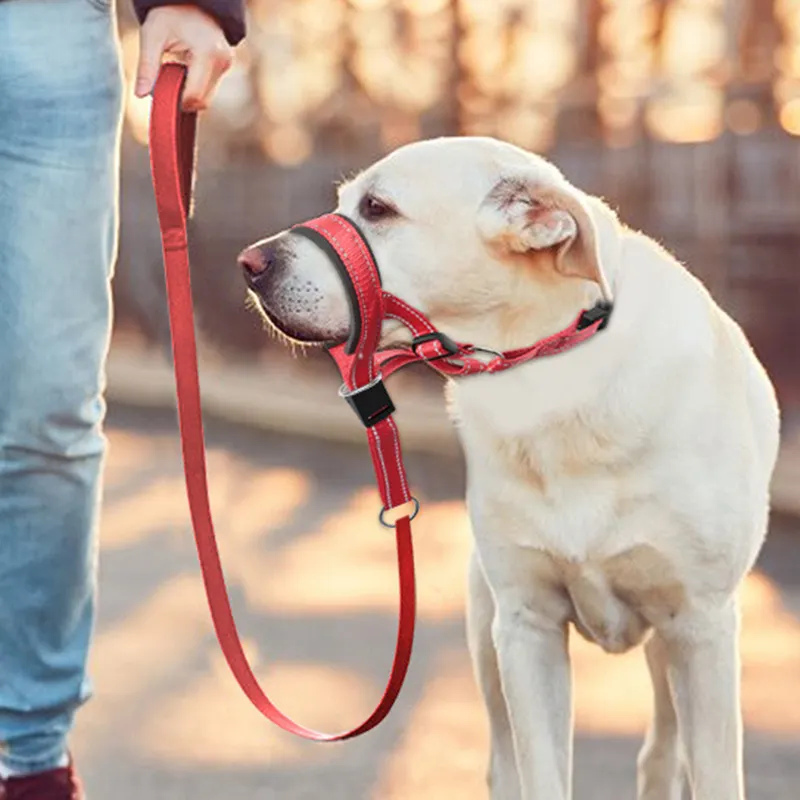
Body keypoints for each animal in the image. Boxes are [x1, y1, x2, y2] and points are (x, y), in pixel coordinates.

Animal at [238, 139, 780, 800]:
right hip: (486, 631)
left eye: (377, 208)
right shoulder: (526, 629)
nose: (250, 263)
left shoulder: (701, 627)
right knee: (505, 760)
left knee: (662, 751)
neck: (550, 375)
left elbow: (715, 772)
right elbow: (540, 771)